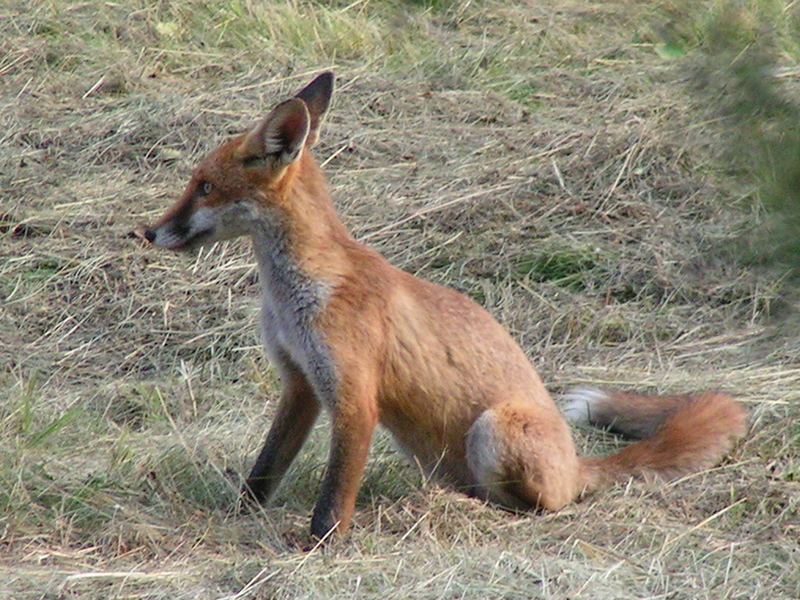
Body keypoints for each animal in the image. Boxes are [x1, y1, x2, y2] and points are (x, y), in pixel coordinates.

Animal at [139, 70, 752, 540]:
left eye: (204, 186)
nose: (146, 232)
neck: (298, 296)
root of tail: (578, 464)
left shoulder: (355, 398)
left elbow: (334, 496)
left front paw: (316, 549)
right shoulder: (302, 383)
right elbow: (264, 471)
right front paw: (239, 516)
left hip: (496, 428)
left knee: (536, 507)